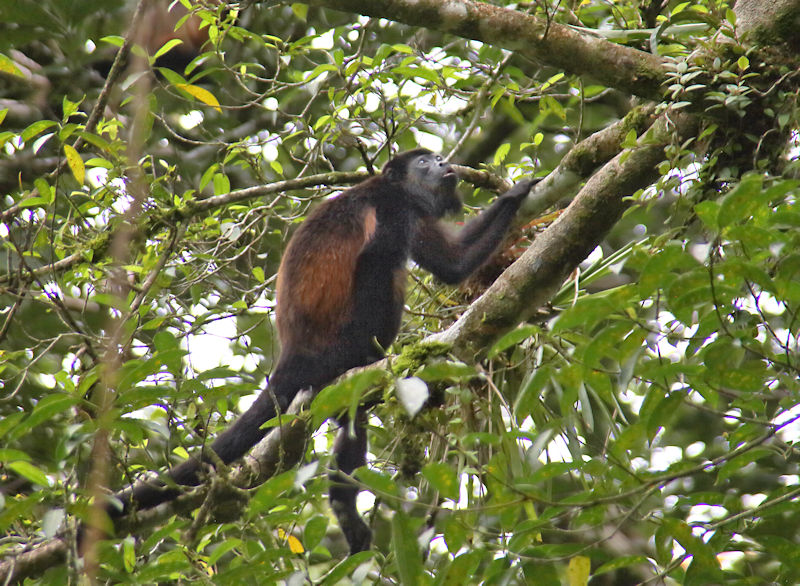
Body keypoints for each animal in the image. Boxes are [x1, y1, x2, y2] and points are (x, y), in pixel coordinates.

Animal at [103, 148, 536, 556]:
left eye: (437, 158)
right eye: (425, 162)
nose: (444, 162)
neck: (395, 189)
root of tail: (293, 352)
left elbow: (452, 260)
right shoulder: (395, 210)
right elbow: (419, 263)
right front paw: (516, 194)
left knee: (351, 417)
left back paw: (345, 506)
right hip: (336, 349)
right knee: (386, 271)